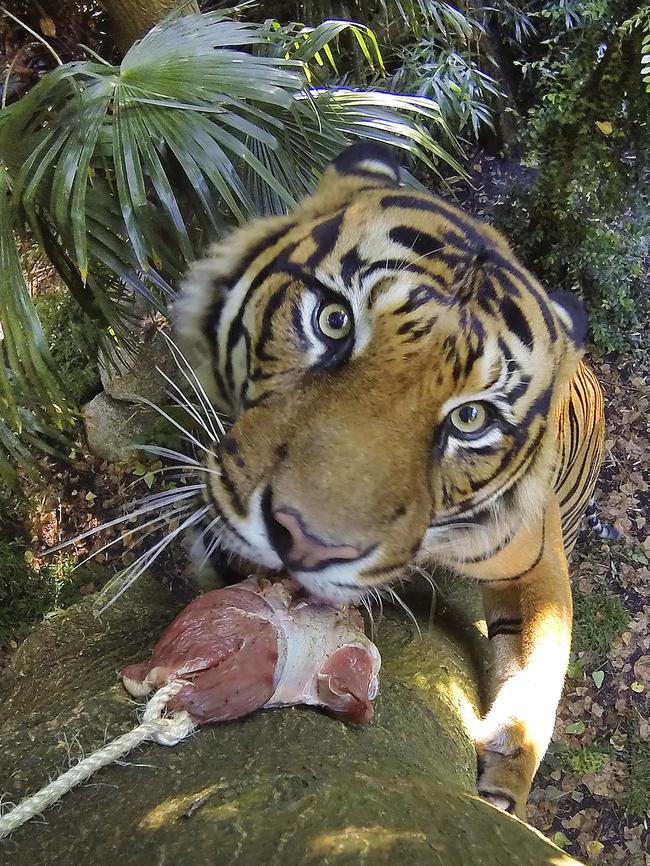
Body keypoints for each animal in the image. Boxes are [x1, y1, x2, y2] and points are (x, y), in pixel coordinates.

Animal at [176, 142, 608, 816]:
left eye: (470, 418)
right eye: (332, 321)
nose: (306, 545)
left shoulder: (533, 561)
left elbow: (538, 675)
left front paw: (502, 788)